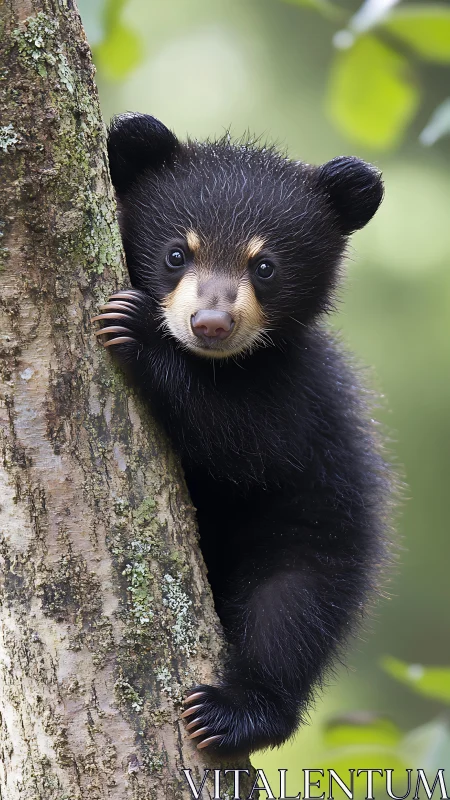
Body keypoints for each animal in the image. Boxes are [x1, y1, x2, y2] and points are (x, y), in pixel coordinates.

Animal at [93, 112, 391, 755]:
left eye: (264, 265)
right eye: (177, 253)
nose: (210, 323)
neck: (222, 364)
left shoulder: (300, 395)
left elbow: (248, 442)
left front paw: (139, 335)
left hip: (316, 539)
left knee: (291, 616)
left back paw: (235, 711)